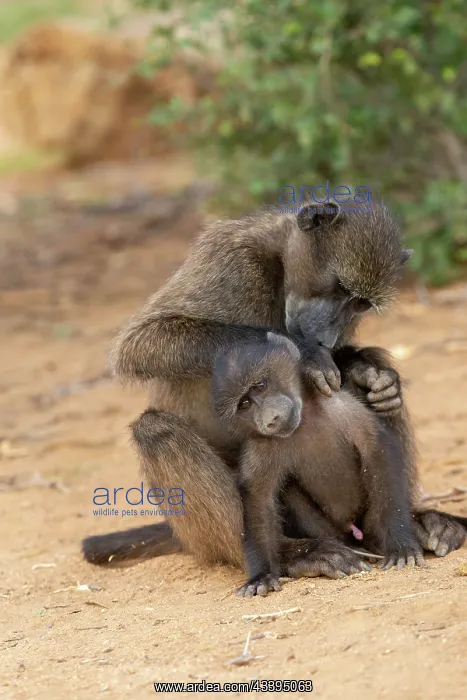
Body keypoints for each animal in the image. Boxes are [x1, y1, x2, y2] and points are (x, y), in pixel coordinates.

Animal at [212, 333, 427, 597]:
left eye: (259, 385)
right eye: (244, 404)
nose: (270, 419)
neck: (304, 420)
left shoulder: (342, 407)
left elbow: (377, 449)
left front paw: (400, 545)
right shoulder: (261, 445)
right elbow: (258, 497)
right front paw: (261, 575)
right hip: (328, 530)